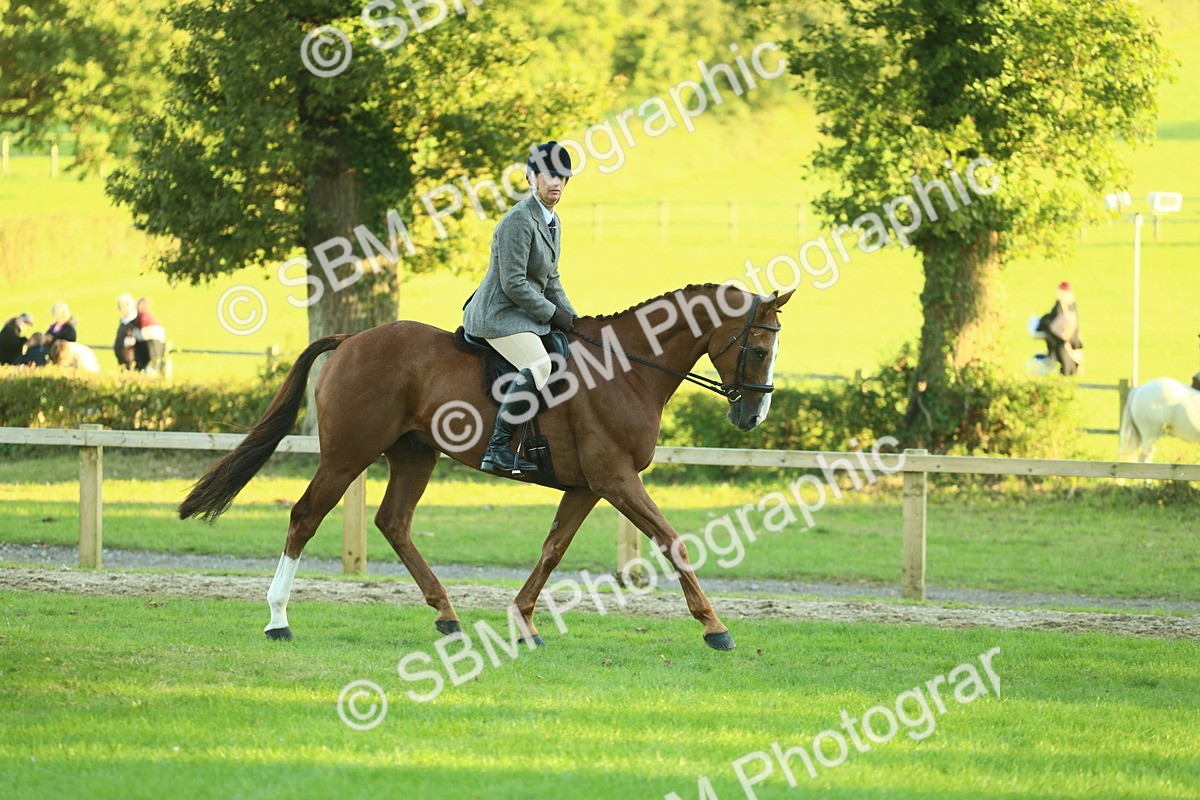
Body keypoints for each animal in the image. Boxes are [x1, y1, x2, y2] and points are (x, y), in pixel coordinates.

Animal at [180, 283, 794, 650]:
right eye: (760, 349)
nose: (752, 416)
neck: (628, 369)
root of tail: (353, 338)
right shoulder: (617, 479)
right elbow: (673, 541)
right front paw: (715, 627)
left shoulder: (590, 486)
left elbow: (552, 550)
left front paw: (524, 624)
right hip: (348, 454)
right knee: (305, 518)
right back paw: (278, 619)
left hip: (413, 454)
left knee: (394, 523)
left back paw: (447, 615)